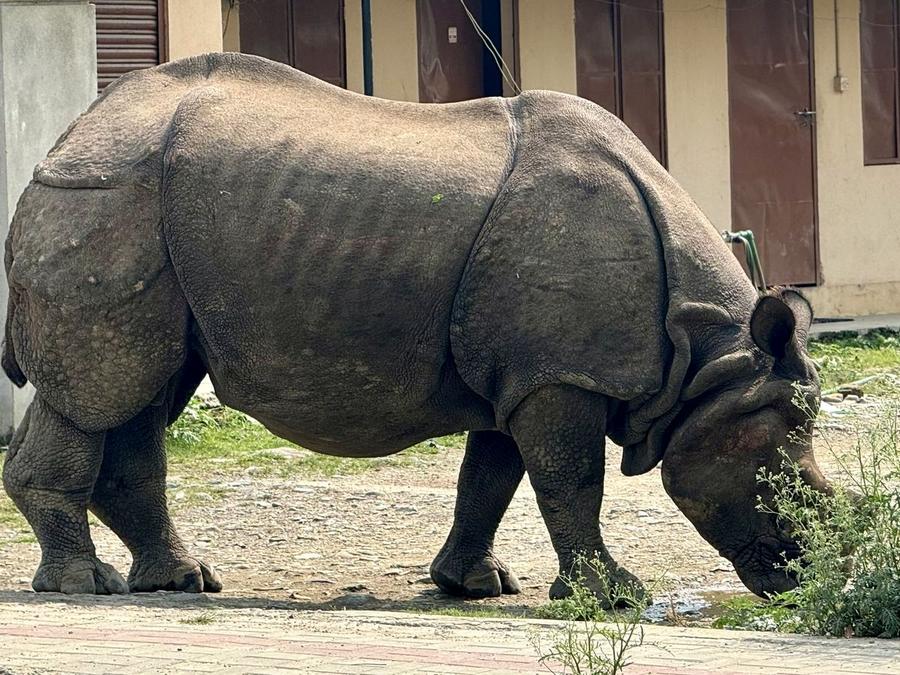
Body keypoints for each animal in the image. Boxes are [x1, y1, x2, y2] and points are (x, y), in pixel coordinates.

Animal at [2, 53, 827, 601]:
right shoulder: (558, 373)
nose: (803, 569)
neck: (707, 358)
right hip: (105, 199)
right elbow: (571, 478)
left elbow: (492, 477)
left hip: (143, 213)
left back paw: (181, 581)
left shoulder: (520, 372)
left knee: (146, 389)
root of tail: (69, 135)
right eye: (780, 478)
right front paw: (614, 597)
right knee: (103, 391)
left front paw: (475, 585)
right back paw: (85, 585)